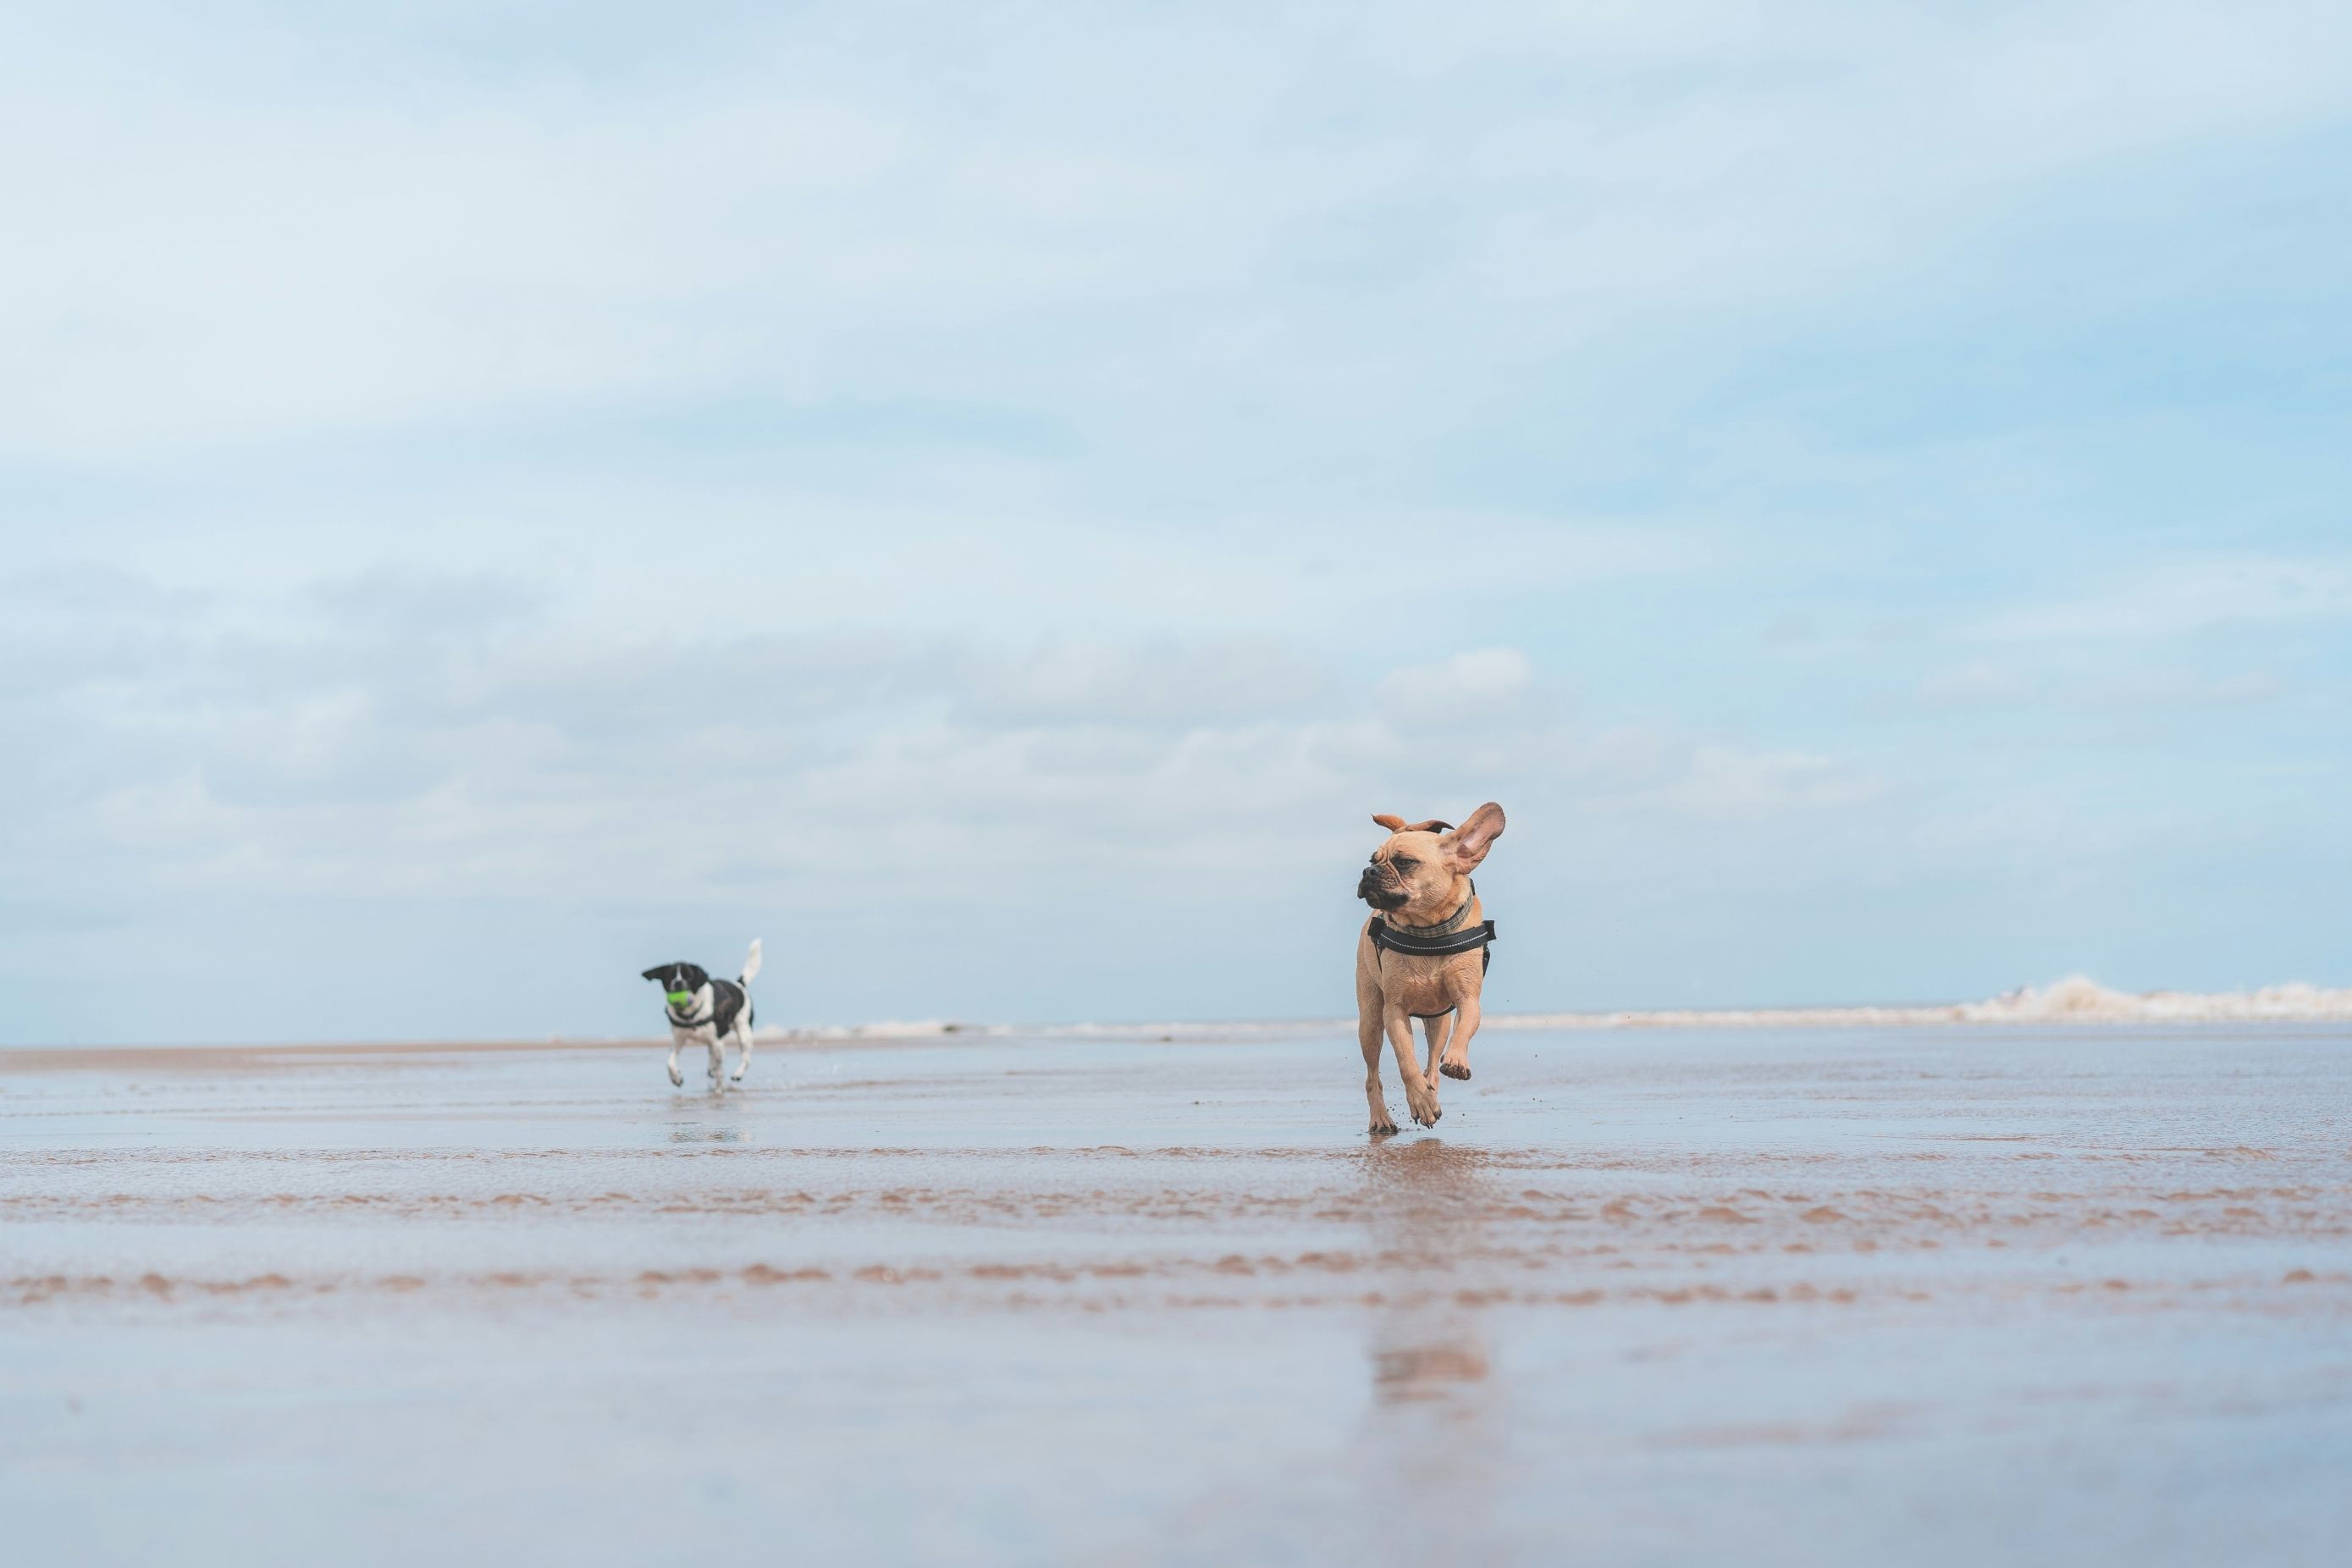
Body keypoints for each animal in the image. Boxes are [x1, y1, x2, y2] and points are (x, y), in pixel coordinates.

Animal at [644, 945, 762, 1090]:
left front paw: (719, 1090)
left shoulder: (717, 1042)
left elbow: (720, 1070)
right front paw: (676, 1078)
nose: (678, 982)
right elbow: (670, 1062)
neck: (690, 1015)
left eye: (689, 977)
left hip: (744, 1030)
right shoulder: (678, 1040)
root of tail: (738, 984)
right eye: (669, 977)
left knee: (745, 1058)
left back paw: (737, 1074)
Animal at [1364, 809, 1505, 1142]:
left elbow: (1464, 1029)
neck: (1427, 928)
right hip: (1371, 1021)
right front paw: (1420, 1100)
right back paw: (1382, 1119)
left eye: (1404, 862)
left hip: (1437, 1021)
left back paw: (1432, 1088)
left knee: (1431, 1059)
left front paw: (1455, 1062)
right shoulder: (1394, 1011)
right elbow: (1406, 1061)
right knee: (1373, 1076)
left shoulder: (1467, 999)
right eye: (1372, 859)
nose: (1369, 871)